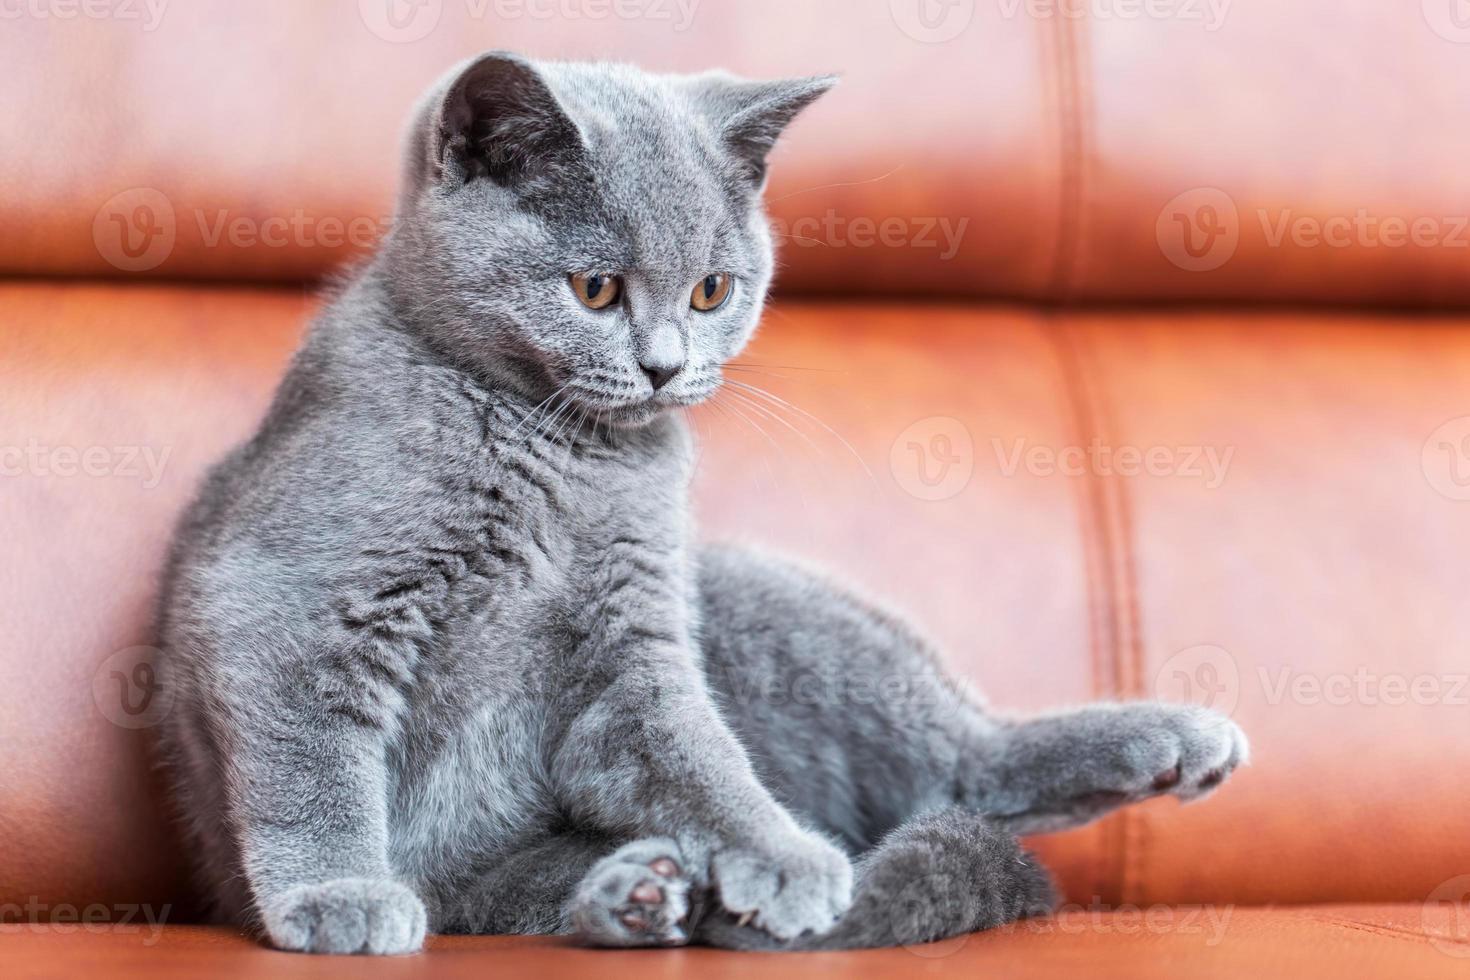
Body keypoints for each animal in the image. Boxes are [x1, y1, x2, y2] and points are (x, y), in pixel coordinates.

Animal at [155, 49, 1246, 952]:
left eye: (713, 290)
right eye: (596, 289)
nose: (663, 366)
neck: (562, 458)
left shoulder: (637, 633)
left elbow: (696, 754)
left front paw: (781, 853)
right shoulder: (293, 600)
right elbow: (314, 765)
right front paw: (339, 893)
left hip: (751, 596)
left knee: (964, 763)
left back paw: (1170, 744)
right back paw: (639, 891)